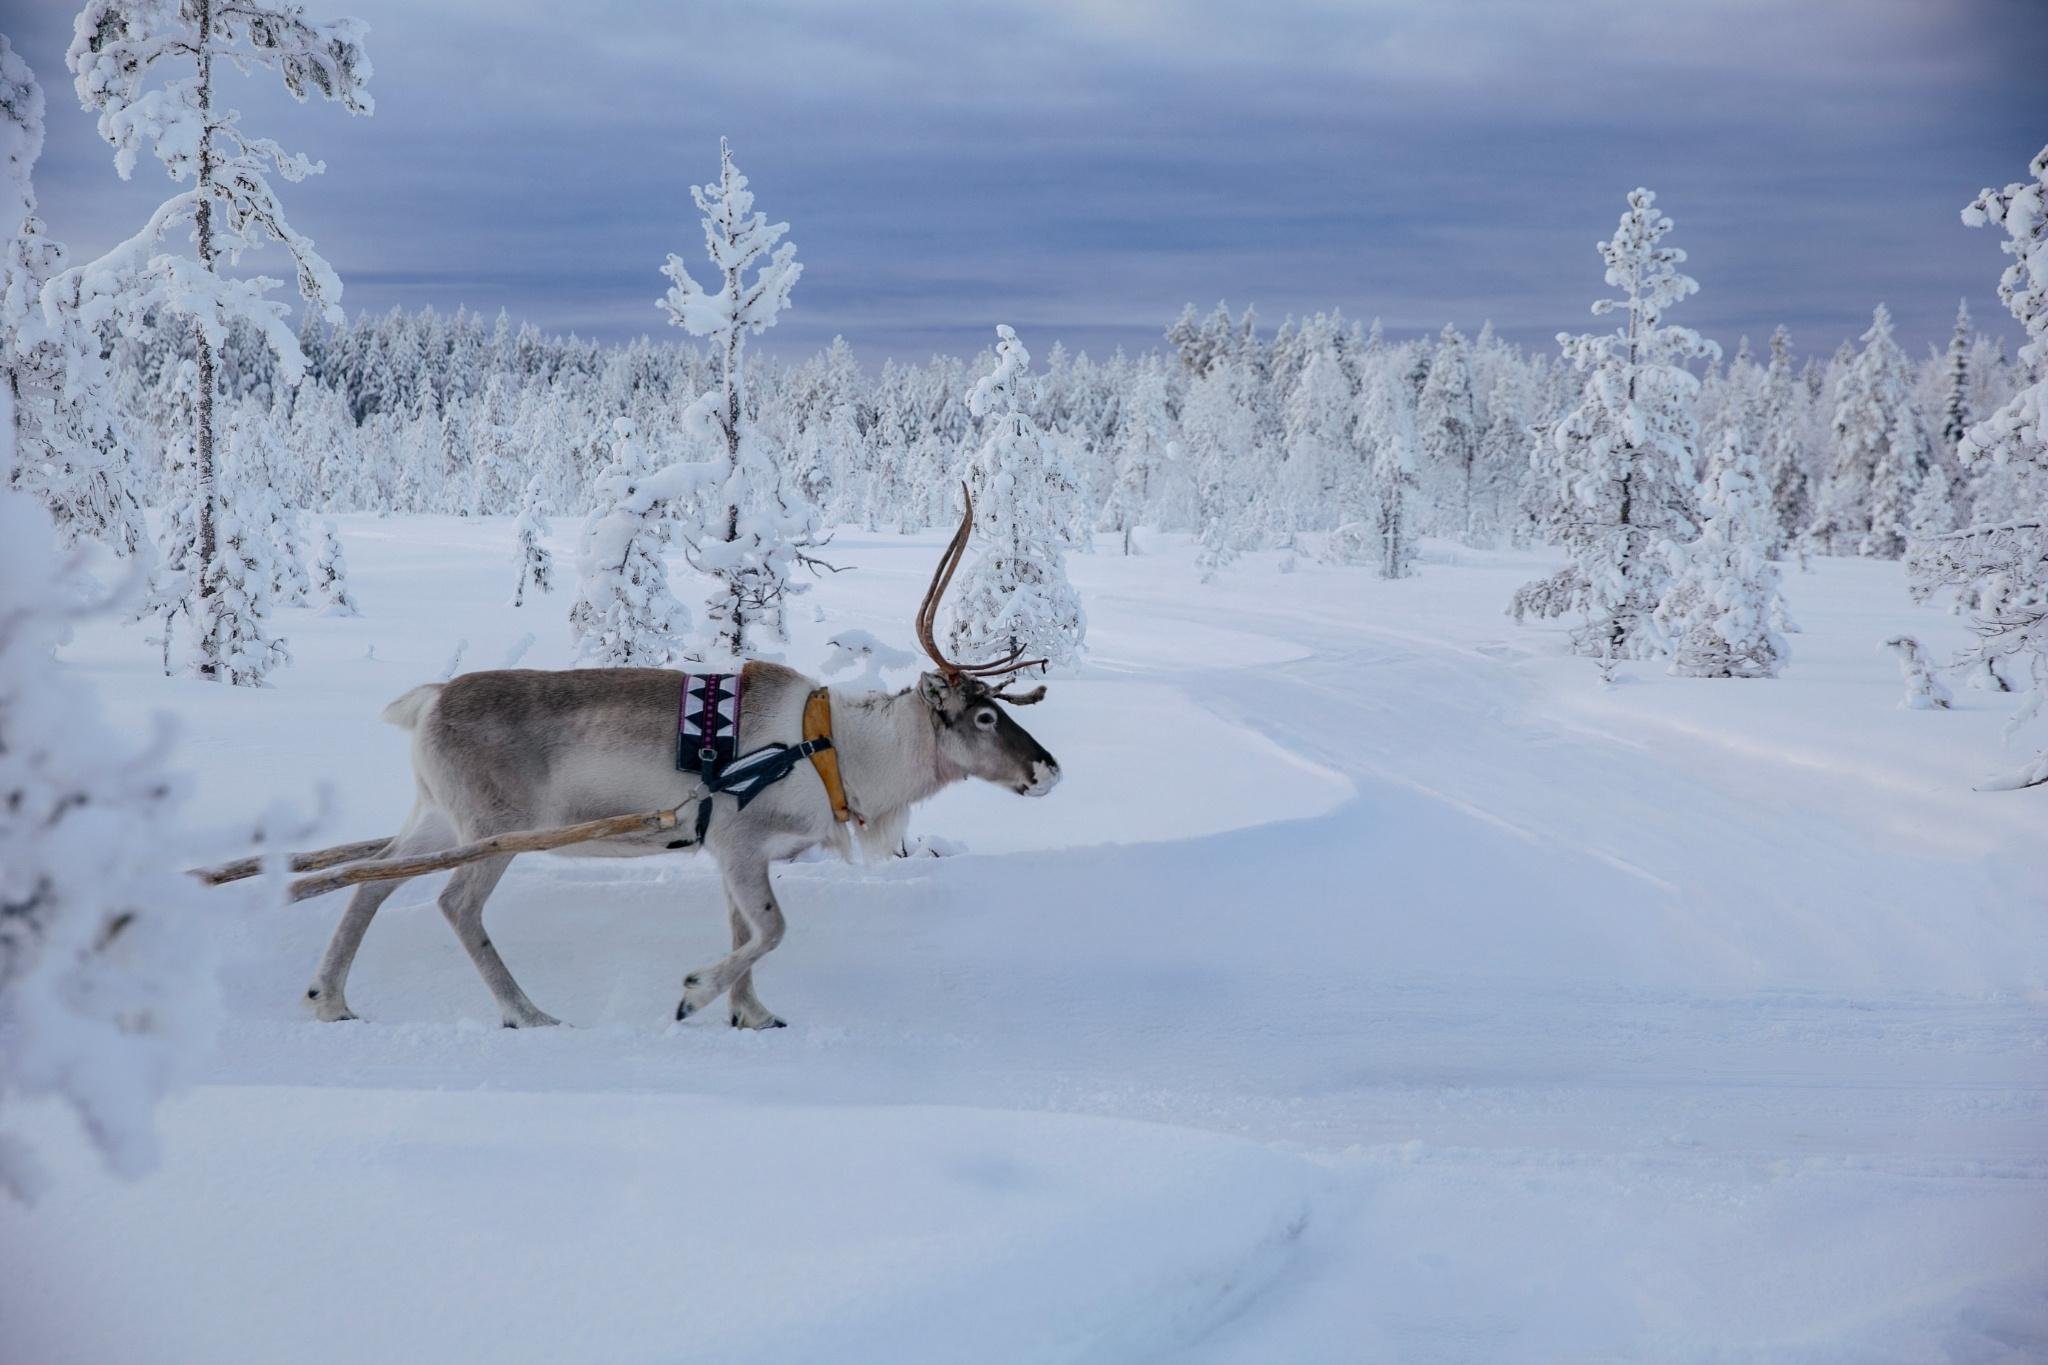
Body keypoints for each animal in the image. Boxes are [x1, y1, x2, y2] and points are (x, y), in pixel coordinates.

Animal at [302, 489, 1059, 1030]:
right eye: (985, 716)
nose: (1049, 769)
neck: (843, 751)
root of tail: (429, 701)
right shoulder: (740, 839)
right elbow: (773, 928)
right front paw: (696, 992)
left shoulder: (734, 853)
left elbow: (747, 928)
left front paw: (750, 1013)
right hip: (495, 829)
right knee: (453, 903)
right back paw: (526, 1012)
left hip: (438, 815)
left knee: (371, 878)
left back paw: (330, 997)